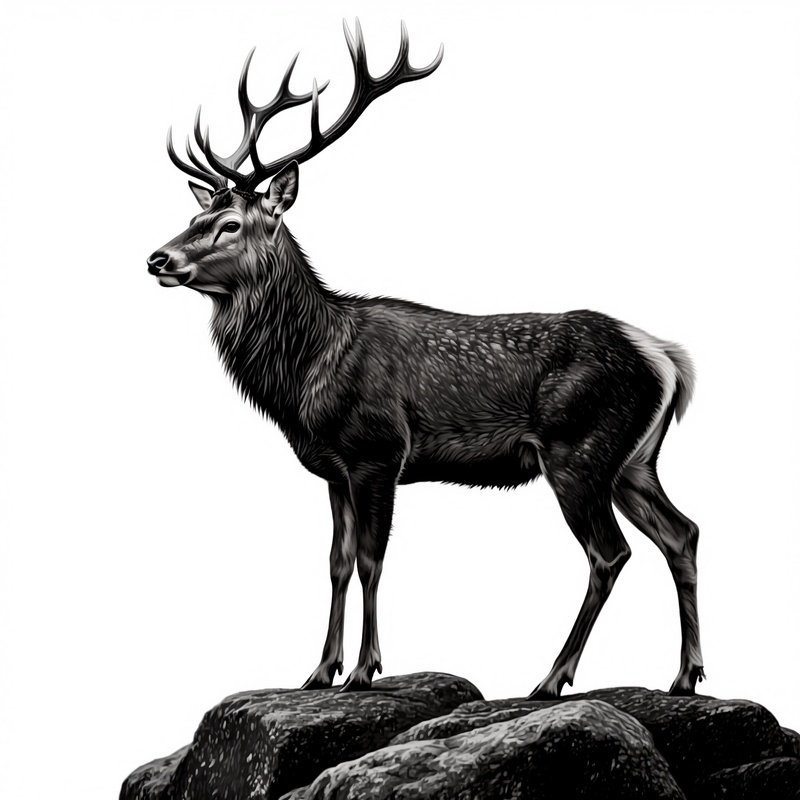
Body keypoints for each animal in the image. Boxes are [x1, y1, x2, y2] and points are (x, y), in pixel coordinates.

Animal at [147, 19, 705, 698]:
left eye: (229, 223)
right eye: (192, 214)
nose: (158, 258)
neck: (308, 372)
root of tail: (666, 358)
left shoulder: (377, 451)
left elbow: (371, 559)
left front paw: (365, 669)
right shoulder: (332, 469)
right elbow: (335, 562)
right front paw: (319, 670)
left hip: (579, 449)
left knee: (610, 552)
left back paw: (551, 678)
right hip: (634, 460)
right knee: (682, 533)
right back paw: (685, 675)